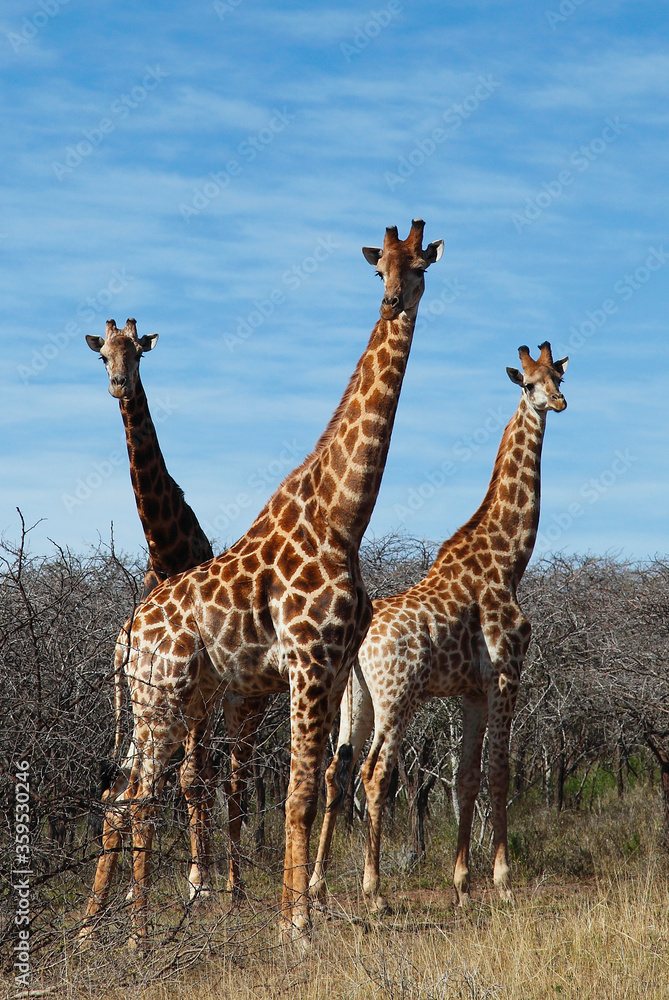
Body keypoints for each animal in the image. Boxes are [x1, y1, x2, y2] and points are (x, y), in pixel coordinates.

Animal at [81, 220, 444, 946]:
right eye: (378, 269)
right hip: (163, 699)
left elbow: (313, 785)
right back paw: (136, 931)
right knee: (139, 795)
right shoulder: (306, 663)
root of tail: (129, 636)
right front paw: (293, 923)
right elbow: (293, 792)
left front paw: (296, 910)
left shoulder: (331, 667)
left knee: (127, 792)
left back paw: (102, 925)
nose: (393, 301)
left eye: (419, 265)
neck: (343, 514)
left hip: (165, 701)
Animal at [310, 342, 568, 912]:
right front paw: (502, 881)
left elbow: (466, 778)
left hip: (354, 699)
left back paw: (316, 885)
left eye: (560, 376)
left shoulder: (471, 691)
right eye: (529, 385)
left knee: (337, 771)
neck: (509, 560)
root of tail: (357, 644)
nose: (559, 403)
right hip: (398, 694)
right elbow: (499, 772)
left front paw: (463, 884)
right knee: (375, 774)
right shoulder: (506, 675)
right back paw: (374, 892)